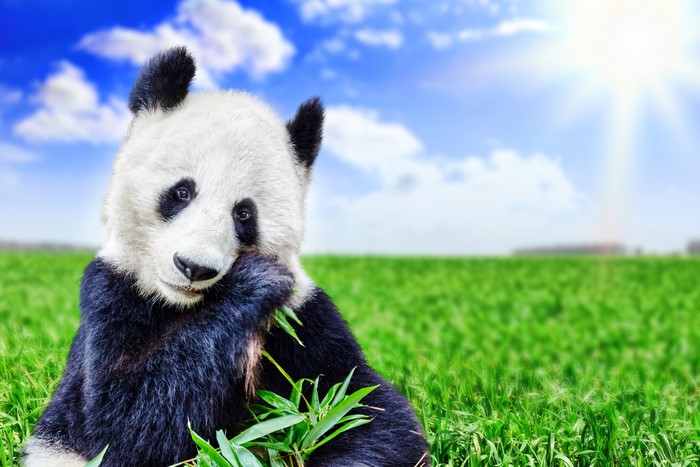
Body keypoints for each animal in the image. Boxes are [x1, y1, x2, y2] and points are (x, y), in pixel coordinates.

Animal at [23, 47, 429, 467]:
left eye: (244, 214)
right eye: (182, 192)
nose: (194, 267)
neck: (183, 306)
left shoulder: (302, 316)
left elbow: (360, 406)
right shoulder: (112, 293)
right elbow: (122, 425)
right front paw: (254, 282)